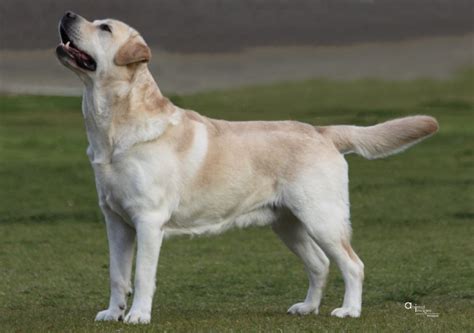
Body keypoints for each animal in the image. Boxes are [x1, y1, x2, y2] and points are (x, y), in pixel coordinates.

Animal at [56, 11, 440, 322]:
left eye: (104, 28)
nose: (67, 13)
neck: (113, 129)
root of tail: (322, 131)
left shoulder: (149, 221)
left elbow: (141, 275)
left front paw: (137, 316)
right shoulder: (116, 220)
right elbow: (117, 274)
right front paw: (113, 313)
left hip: (322, 218)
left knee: (352, 264)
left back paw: (349, 310)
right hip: (288, 224)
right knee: (320, 264)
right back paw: (307, 307)